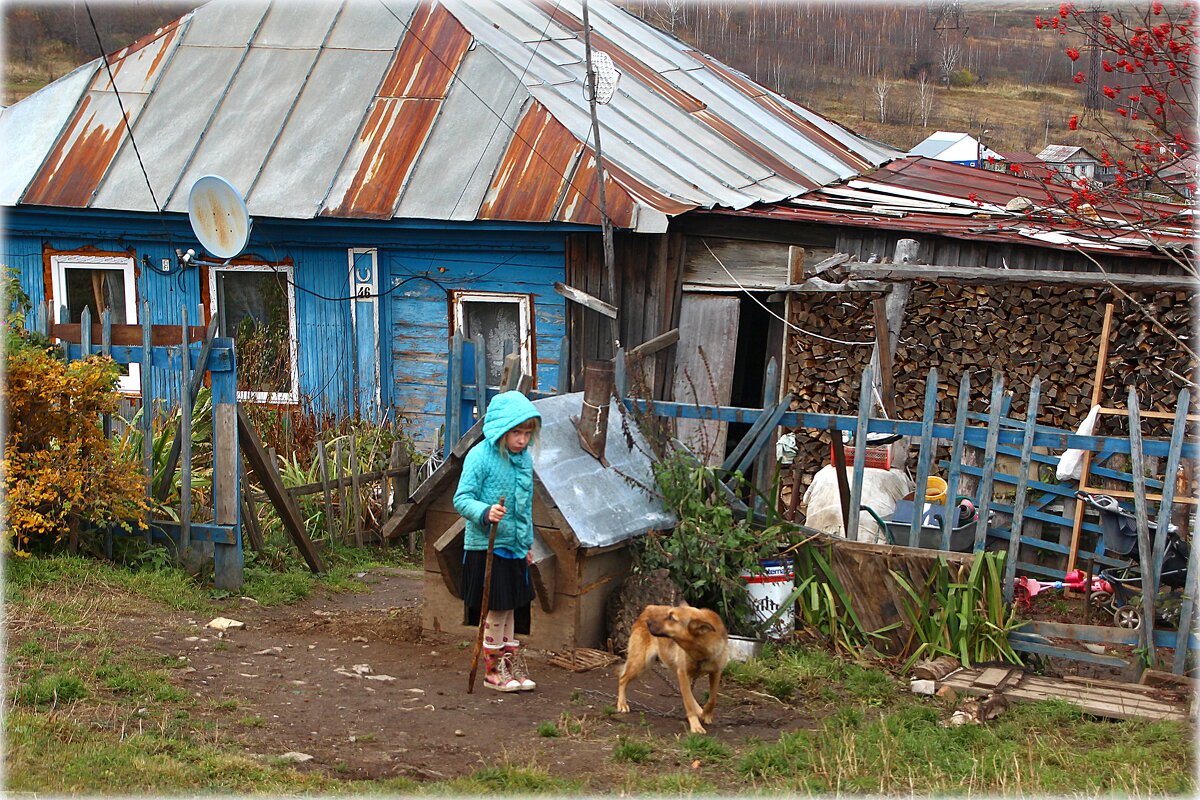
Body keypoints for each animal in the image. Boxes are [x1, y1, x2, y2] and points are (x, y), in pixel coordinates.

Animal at [619, 606, 729, 734]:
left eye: (671, 618)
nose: (648, 623)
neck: (701, 651)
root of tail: (649, 607)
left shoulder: (716, 673)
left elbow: (712, 699)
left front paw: (706, 714)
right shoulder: (683, 673)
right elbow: (688, 702)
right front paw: (695, 725)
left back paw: (699, 710)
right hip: (641, 663)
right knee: (622, 679)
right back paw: (621, 704)